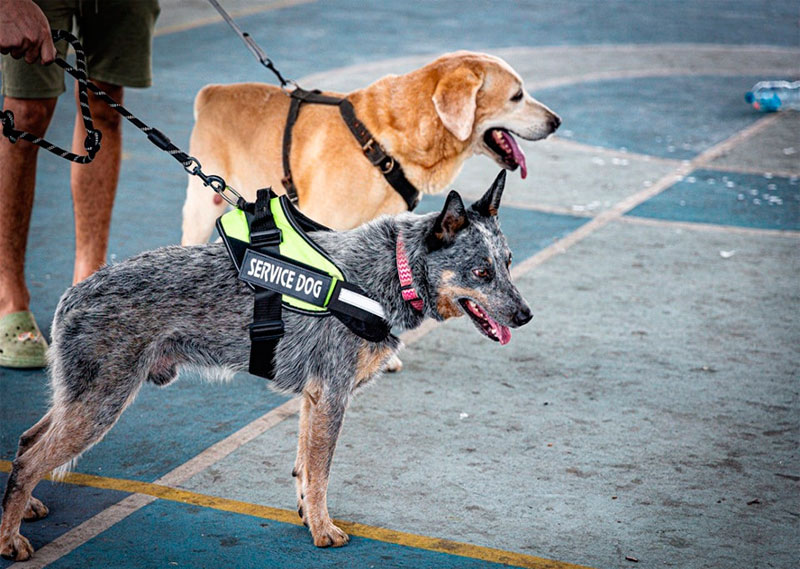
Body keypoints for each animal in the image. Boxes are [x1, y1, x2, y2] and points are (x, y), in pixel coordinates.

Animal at [3, 170, 536, 560]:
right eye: (482, 272)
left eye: (509, 261)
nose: (526, 315)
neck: (390, 273)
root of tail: (73, 293)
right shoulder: (332, 395)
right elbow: (320, 473)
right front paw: (323, 530)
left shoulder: (315, 399)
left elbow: (305, 469)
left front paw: (308, 517)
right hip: (99, 405)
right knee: (30, 459)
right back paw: (10, 539)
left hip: (81, 400)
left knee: (27, 442)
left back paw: (25, 509)